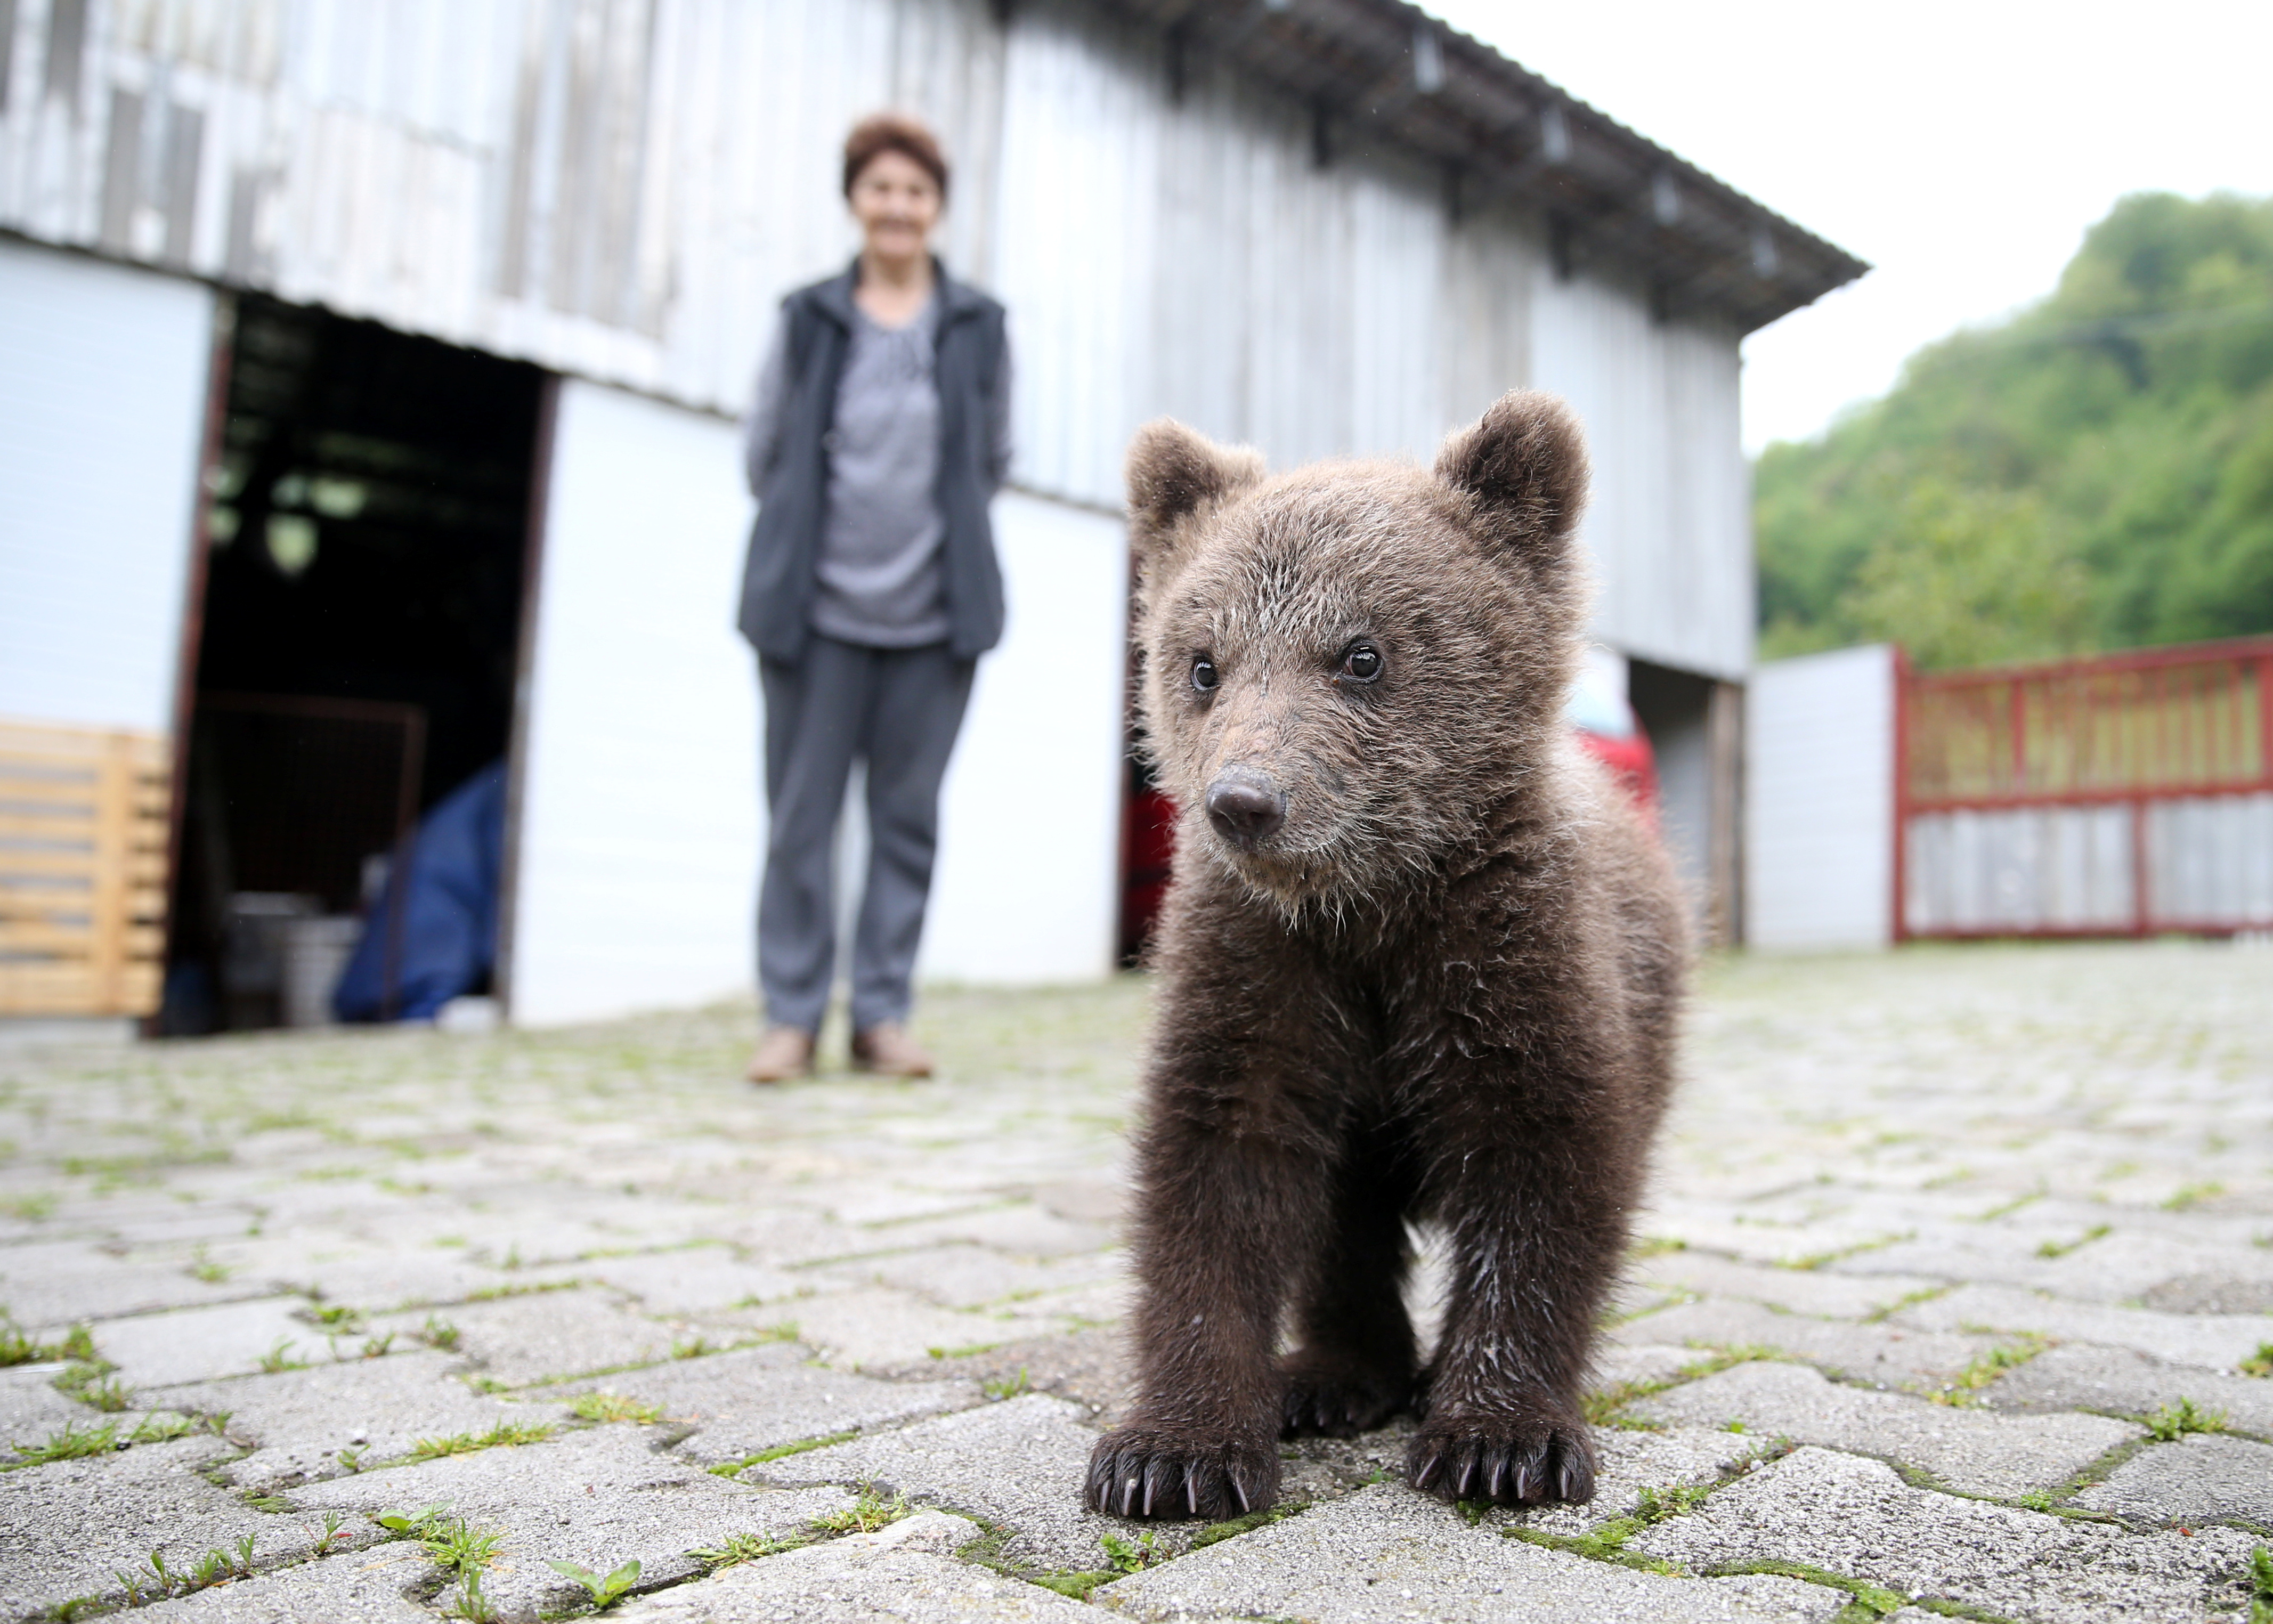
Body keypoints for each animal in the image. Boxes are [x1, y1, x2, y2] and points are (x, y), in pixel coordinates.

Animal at [1083, 390, 1688, 1522]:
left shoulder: (1503, 951)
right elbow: (1221, 1167)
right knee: (1344, 1222)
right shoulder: (1267, 966)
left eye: (1360, 653)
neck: (1368, 903)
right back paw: (1333, 1375)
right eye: (1203, 662)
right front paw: (1171, 1451)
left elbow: (1544, 1171)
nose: (1245, 800)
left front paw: (1501, 1436)